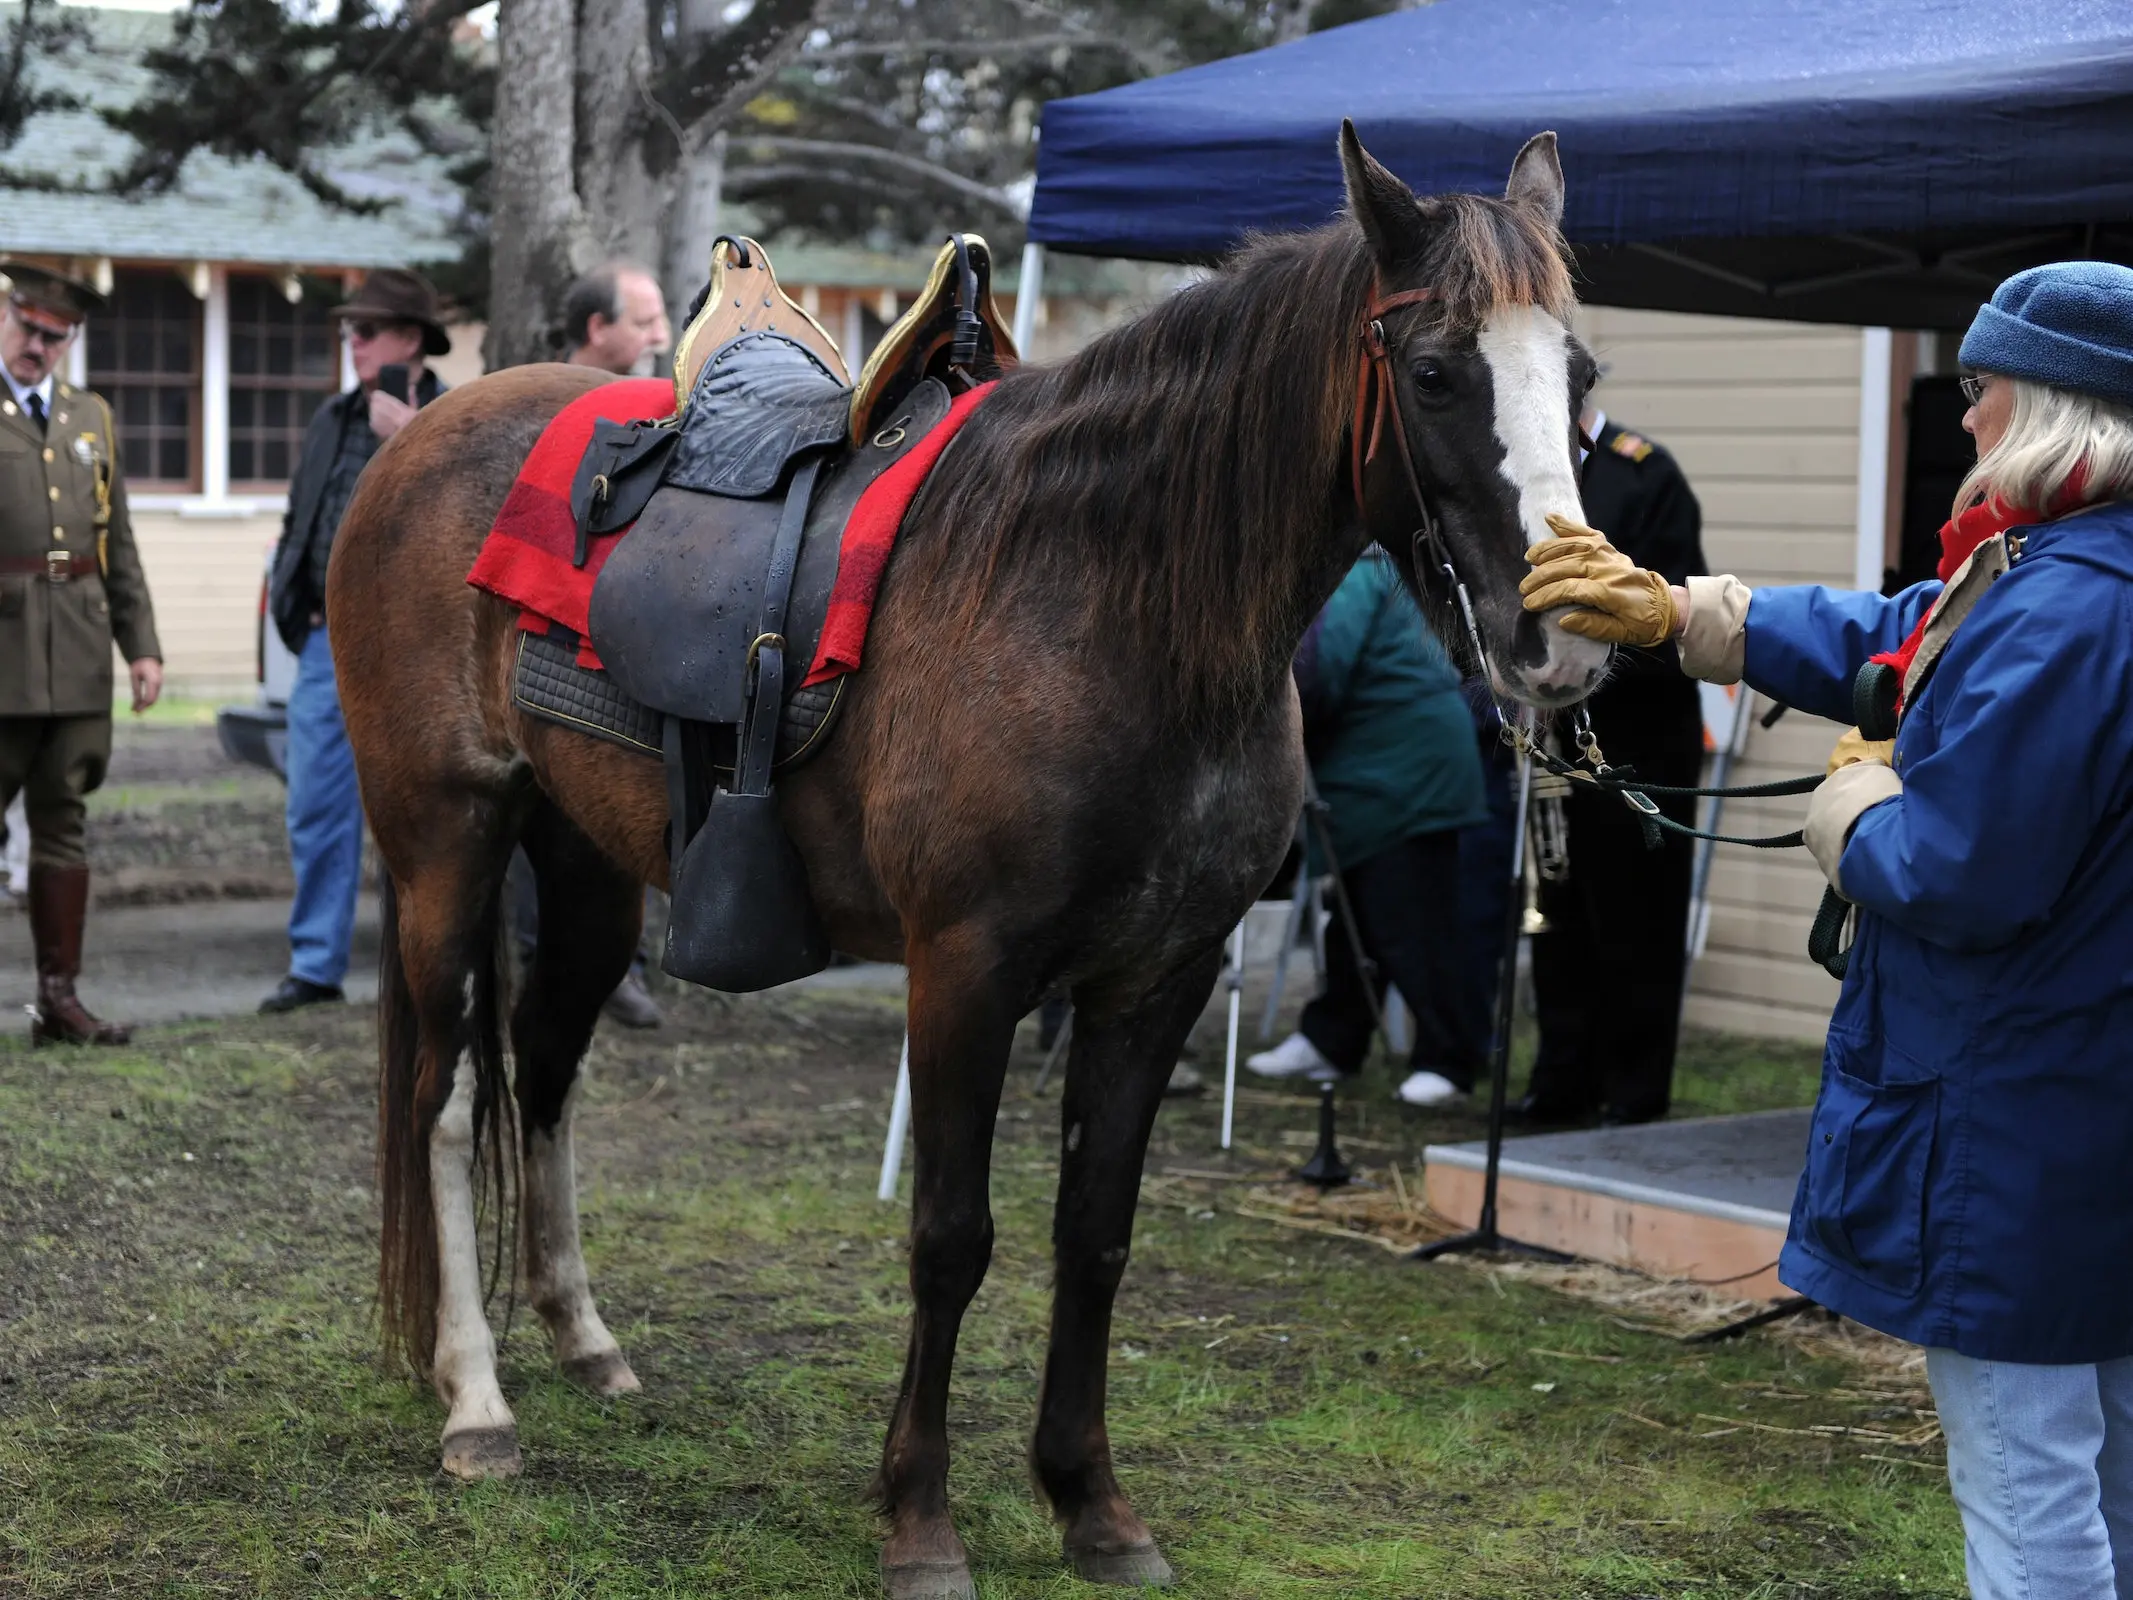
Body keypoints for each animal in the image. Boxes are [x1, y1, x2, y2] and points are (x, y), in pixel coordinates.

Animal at [328, 128, 1604, 1600]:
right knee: (442, 1100)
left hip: (585, 872)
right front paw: (921, 1519)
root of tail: (418, 439)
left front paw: (1091, 1502)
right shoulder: (965, 974)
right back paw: (476, 1398)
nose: (1567, 643)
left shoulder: (1154, 981)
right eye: (1439, 371)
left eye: (1579, 376)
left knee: (542, 1076)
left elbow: (1094, 1233)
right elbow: (951, 1236)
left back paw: (582, 1337)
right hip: (446, 847)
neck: (1109, 604)